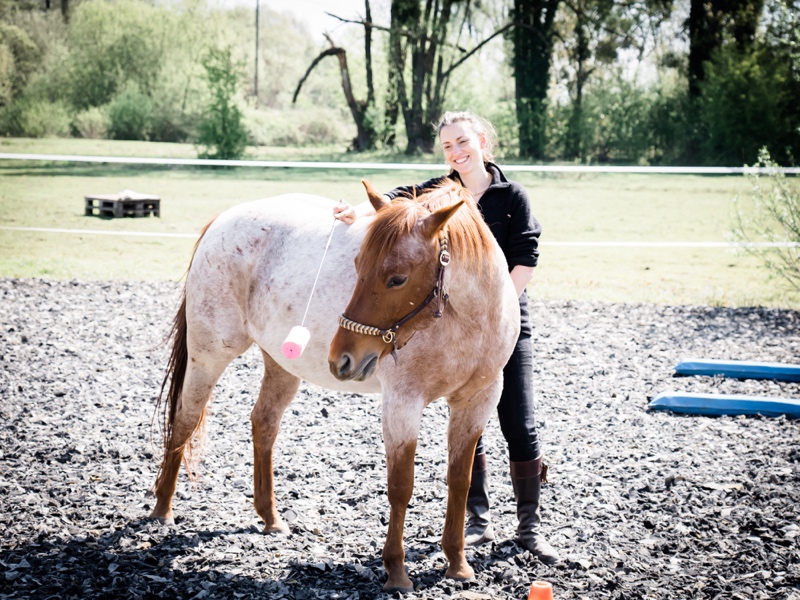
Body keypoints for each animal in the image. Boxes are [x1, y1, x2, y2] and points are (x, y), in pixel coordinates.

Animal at [152, 178, 520, 592]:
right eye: (358, 266)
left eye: (397, 278)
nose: (342, 358)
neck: (466, 322)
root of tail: (222, 220)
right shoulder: (402, 404)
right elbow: (401, 486)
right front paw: (396, 571)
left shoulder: (476, 403)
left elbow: (460, 481)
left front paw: (457, 563)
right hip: (209, 357)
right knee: (184, 419)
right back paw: (162, 509)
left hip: (281, 365)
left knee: (264, 423)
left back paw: (270, 517)